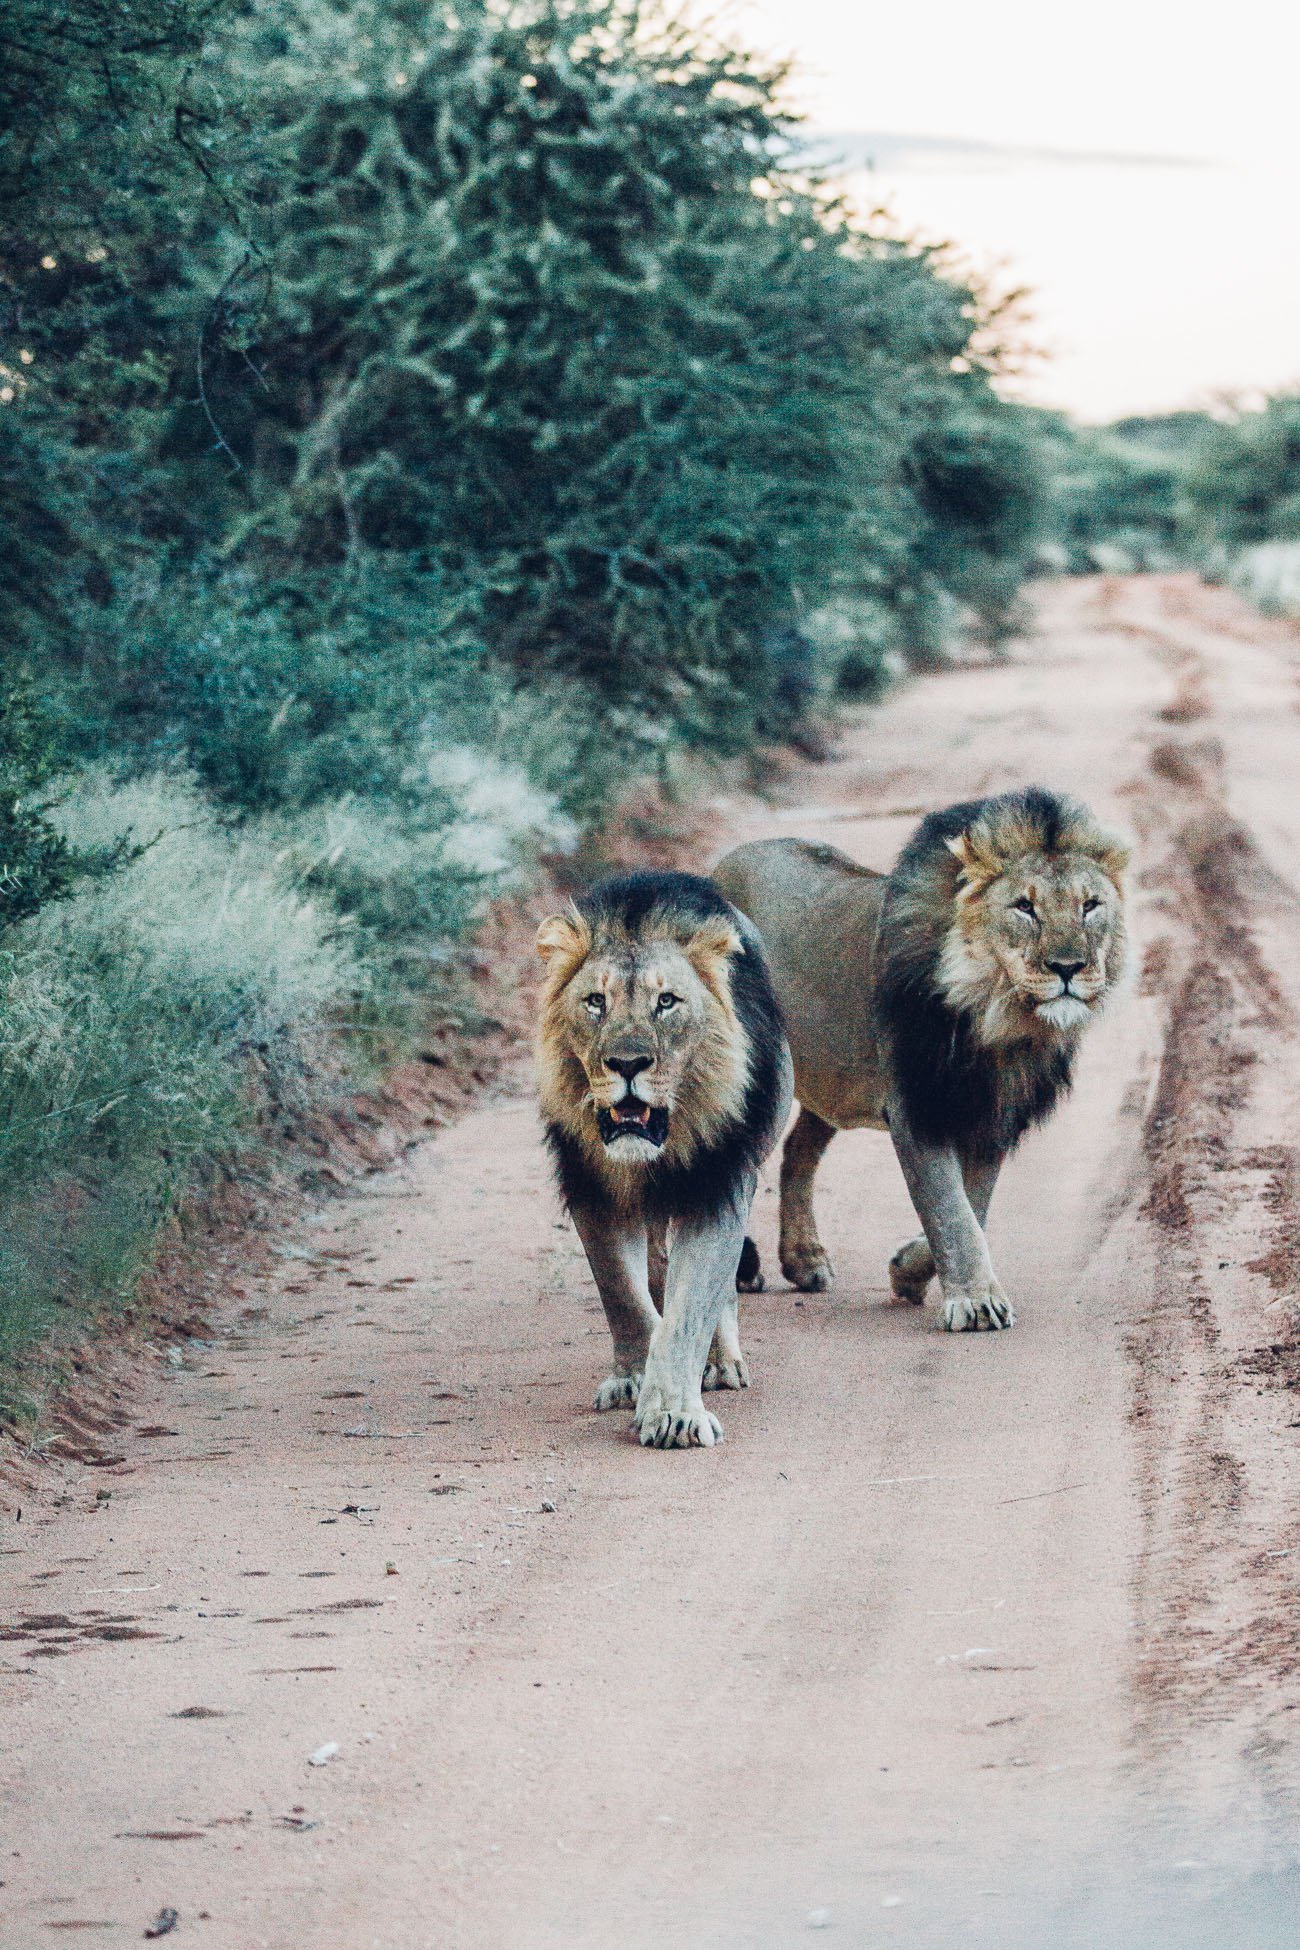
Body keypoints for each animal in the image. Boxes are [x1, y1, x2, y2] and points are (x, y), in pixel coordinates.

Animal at [537, 877, 795, 1443]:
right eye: (595, 1001)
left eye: (667, 1002)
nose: (627, 1063)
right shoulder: (592, 1189)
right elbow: (622, 1294)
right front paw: (633, 1378)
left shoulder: (718, 1187)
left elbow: (692, 1305)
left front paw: (674, 1412)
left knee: (717, 1289)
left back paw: (720, 1362)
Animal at [713, 783, 1130, 1333]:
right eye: (1024, 907)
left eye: (1090, 905)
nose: (1069, 967)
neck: (998, 1020)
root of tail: (721, 864)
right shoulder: (916, 1104)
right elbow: (949, 1208)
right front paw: (975, 1302)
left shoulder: (990, 1111)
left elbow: (974, 1207)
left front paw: (908, 1272)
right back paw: (741, 1266)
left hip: (832, 1085)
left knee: (798, 1150)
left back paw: (804, 1260)